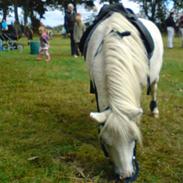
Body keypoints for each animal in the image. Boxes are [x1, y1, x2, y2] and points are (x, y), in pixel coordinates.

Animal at [83, 6, 163, 182]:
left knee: (154, 88)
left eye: (134, 139)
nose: (126, 175)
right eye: (106, 143)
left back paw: (155, 110)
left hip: (155, 75)